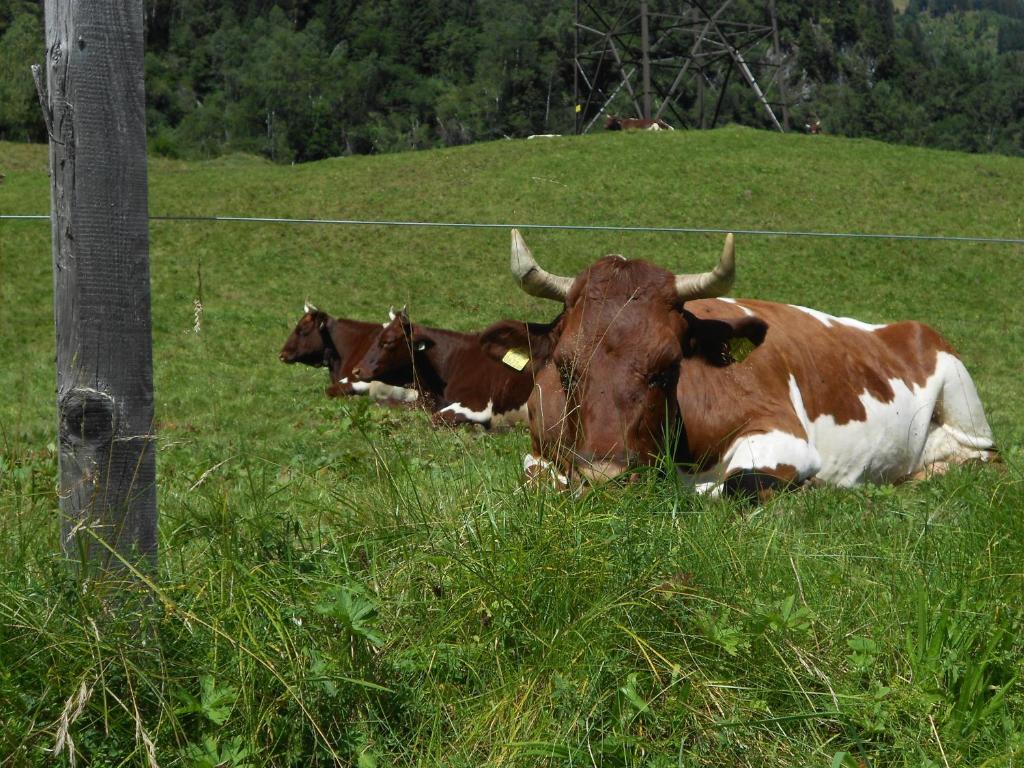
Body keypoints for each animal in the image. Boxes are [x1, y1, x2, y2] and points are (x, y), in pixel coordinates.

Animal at [479, 227, 999, 499]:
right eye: (566, 369)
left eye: (669, 368)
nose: (606, 478)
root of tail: (904, 327)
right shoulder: (540, 447)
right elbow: (536, 478)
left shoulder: (784, 435)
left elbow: (732, 486)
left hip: (965, 403)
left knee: (986, 461)